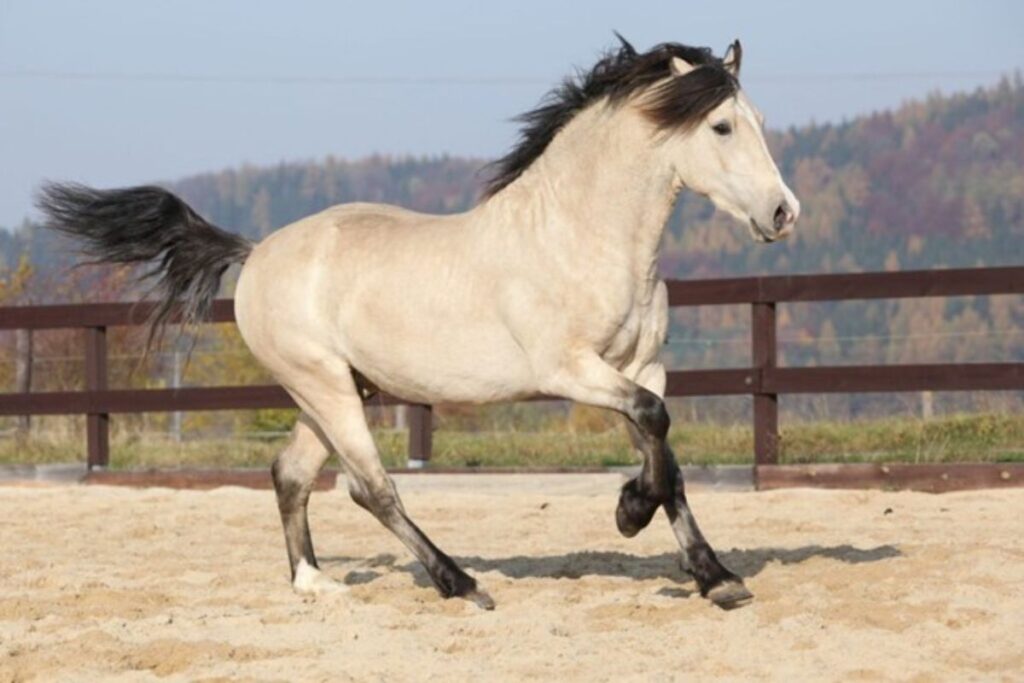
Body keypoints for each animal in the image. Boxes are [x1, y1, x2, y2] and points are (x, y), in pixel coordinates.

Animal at [39, 34, 798, 610]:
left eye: (760, 119)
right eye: (721, 127)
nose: (783, 213)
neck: (575, 234)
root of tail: (256, 254)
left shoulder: (641, 365)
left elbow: (665, 453)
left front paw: (711, 573)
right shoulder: (571, 370)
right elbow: (653, 427)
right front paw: (634, 516)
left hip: (336, 390)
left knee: (291, 473)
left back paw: (315, 582)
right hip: (325, 387)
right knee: (369, 486)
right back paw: (460, 583)